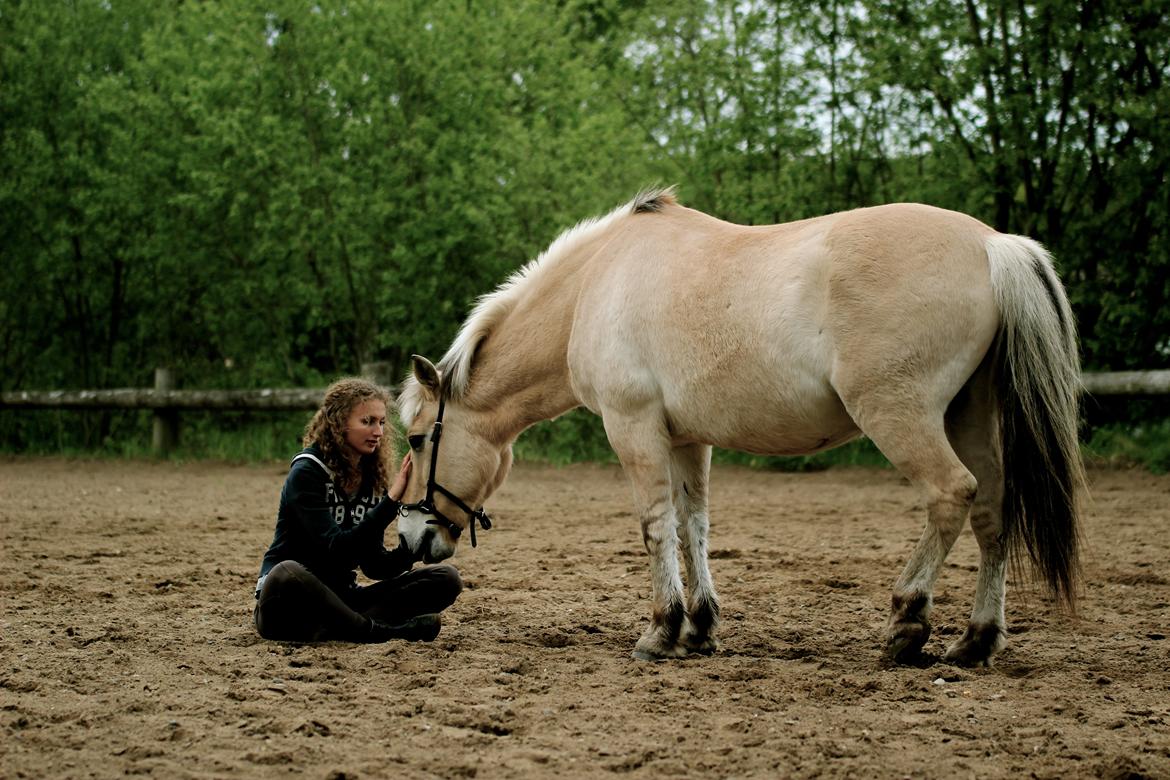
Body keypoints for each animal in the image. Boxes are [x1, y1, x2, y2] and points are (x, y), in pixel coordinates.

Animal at [397, 187, 1081, 664]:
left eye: (417, 438)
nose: (407, 538)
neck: (597, 283)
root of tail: (993, 245)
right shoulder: (686, 439)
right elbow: (693, 526)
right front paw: (699, 627)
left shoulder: (633, 428)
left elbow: (655, 526)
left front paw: (660, 629)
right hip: (967, 415)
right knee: (992, 509)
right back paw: (976, 640)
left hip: (901, 416)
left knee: (951, 495)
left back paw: (906, 621)